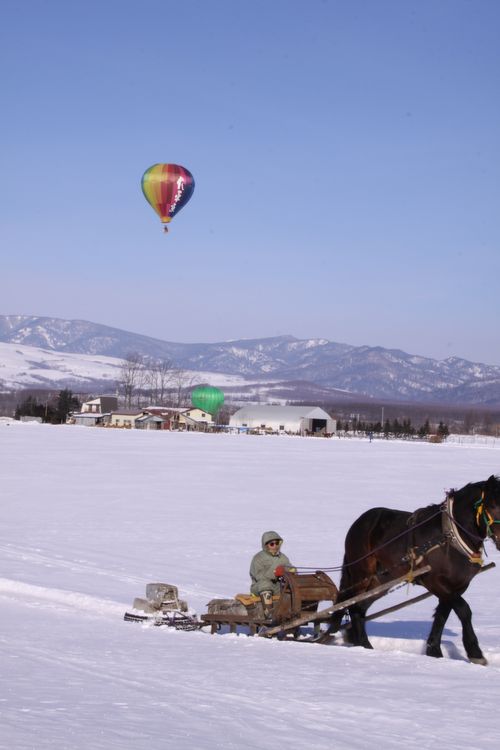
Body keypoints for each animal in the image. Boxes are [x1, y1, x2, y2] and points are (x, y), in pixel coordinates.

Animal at [330, 476, 500, 664]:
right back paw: (364, 645)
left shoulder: (458, 585)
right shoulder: (436, 582)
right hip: (362, 573)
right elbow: (464, 610)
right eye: (492, 506)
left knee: (360, 606)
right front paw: (475, 652)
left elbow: (442, 615)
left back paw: (360, 641)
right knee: (353, 605)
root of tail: (360, 522)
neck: (450, 537)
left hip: (381, 581)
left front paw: (434, 651)